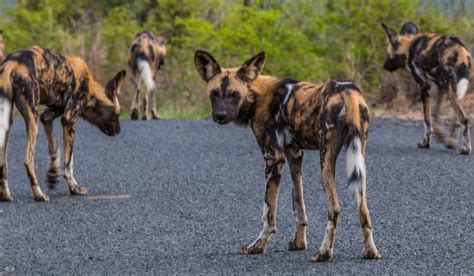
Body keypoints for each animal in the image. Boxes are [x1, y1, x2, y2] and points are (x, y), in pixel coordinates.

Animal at [0, 44, 126, 201]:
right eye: (117, 114)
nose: (119, 131)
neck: (90, 89)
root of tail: (11, 63)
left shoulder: (47, 116)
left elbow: (55, 147)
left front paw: (53, 174)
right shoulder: (69, 120)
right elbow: (69, 162)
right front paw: (74, 188)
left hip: (8, 122)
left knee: (3, 162)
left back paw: (5, 195)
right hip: (33, 120)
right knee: (28, 160)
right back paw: (39, 194)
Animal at [193, 50, 382, 262]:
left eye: (234, 94)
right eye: (214, 93)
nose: (220, 115)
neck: (256, 95)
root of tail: (348, 91)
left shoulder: (273, 159)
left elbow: (268, 212)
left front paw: (258, 245)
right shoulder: (294, 155)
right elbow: (298, 205)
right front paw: (299, 243)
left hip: (326, 161)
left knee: (334, 208)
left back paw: (324, 252)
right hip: (358, 159)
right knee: (364, 209)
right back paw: (370, 251)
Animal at [384, 21, 472, 154]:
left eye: (388, 54)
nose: (384, 66)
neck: (409, 47)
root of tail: (459, 49)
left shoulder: (424, 88)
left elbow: (427, 120)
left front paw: (425, 143)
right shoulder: (440, 89)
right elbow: (436, 116)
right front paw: (444, 139)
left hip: (451, 92)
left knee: (464, 118)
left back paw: (465, 148)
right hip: (458, 90)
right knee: (458, 119)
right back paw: (456, 143)